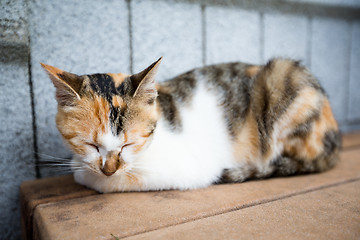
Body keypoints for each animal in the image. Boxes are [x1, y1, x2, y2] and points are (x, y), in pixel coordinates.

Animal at [40, 56, 342, 193]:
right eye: (90, 144)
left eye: (128, 144)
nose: (108, 169)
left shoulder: (189, 167)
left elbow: (117, 180)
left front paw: (91, 176)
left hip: (284, 78)